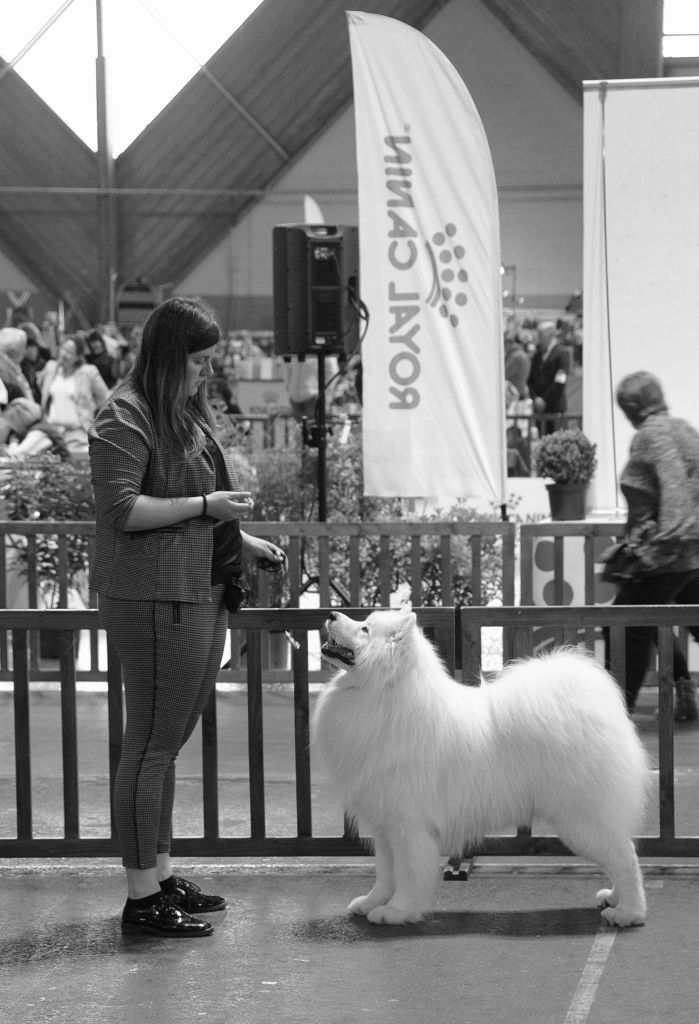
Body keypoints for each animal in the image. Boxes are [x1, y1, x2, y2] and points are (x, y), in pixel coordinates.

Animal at [311, 606, 650, 929]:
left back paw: (628, 913)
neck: (382, 693)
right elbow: (384, 873)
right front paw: (372, 903)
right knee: (621, 855)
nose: (330, 614)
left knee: (626, 857)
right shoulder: (384, 824)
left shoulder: (408, 826)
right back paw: (613, 898)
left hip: (580, 819)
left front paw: (396, 912)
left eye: (365, 629)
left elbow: (407, 874)